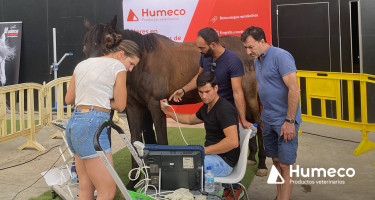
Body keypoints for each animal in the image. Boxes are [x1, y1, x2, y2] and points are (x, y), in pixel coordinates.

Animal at [83, 16, 268, 189]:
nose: (91, 77)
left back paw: (262, 164)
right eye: (85, 47)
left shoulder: (156, 106)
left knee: (258, 123)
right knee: (247, 122)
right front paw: (132, 182)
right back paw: (251, 157)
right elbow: (134, 141)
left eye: (109, 42)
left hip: (248, 95)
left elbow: (162, 141)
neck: (143, 63)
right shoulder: (133, 107)